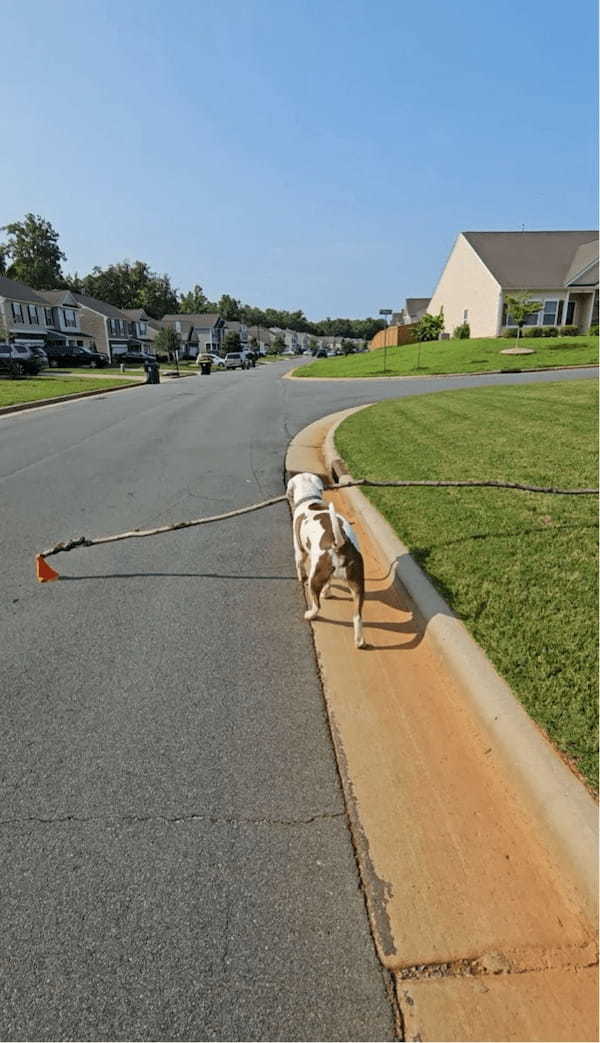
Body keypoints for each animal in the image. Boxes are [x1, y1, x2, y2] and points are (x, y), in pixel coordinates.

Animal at [288, 471, 367, 646]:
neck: (310, 499)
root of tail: (340, 544)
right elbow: (329, 582)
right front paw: (327, 592)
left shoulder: (300, 551)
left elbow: (299, 565)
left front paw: (300, 577)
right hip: (357, 583)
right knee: (358, 616)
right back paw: (359, 641)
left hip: (314, 578)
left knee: (317, 605)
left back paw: (310, 614)